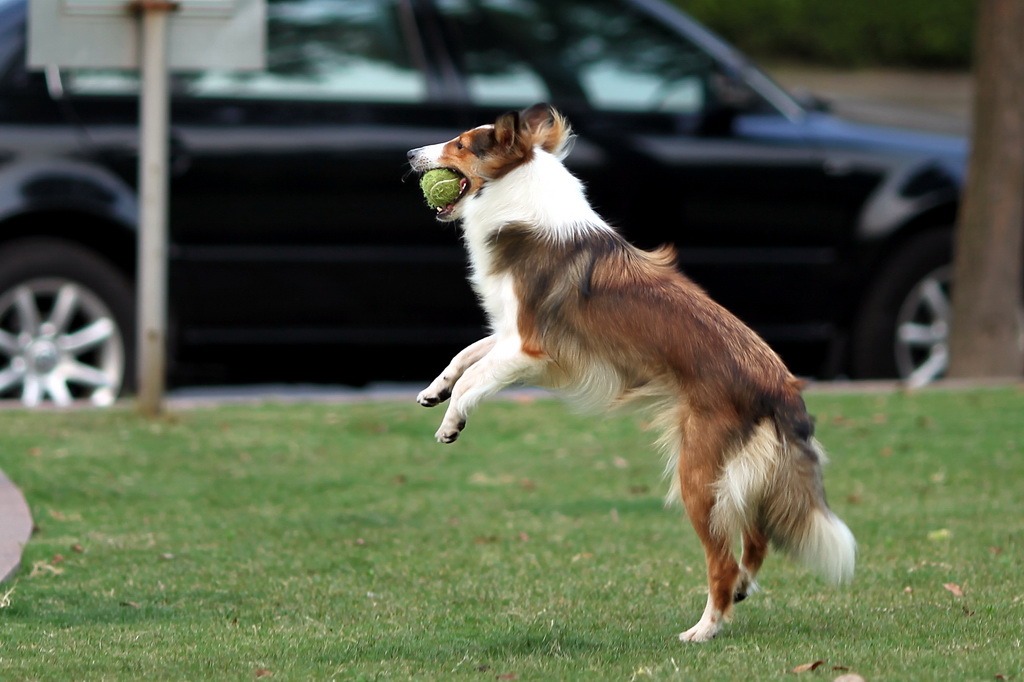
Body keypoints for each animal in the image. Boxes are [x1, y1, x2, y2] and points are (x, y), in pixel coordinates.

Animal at [403, 103, 851, 638]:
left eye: (462, 144)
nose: (410, 153)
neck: (522, 196)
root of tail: (781, 384)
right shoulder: (512, 335)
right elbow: (466, 355)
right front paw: (434, 391)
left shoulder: (532, 349)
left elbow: (476, 376)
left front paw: (452, 421)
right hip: (745, 474)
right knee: (758, 537)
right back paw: (741, 589)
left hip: (699, 475)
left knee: (721, 558)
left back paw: (704, 629)